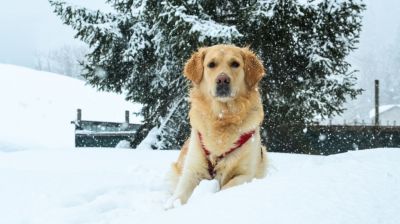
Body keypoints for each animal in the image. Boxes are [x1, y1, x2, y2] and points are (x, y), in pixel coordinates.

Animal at [167, 44, 268, 206]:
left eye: (235, 64)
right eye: (211, 65)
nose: (222, 79)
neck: (222, 117)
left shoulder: (246, 174)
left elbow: (226, 187)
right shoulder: (192, 170)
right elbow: (179, 195)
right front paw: (170, 207)